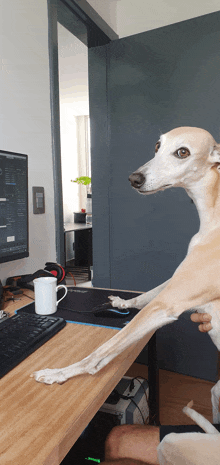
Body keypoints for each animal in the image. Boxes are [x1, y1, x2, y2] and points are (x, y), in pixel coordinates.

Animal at [32, 127, 220, 384]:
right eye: (157, 145)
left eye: (183, 152)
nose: (134, 179)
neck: (213, 218)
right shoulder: (175, 283)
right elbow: (147, 294)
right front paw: (123, 302)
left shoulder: (166, 305)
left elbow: (102, 351)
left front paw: (60, 373)